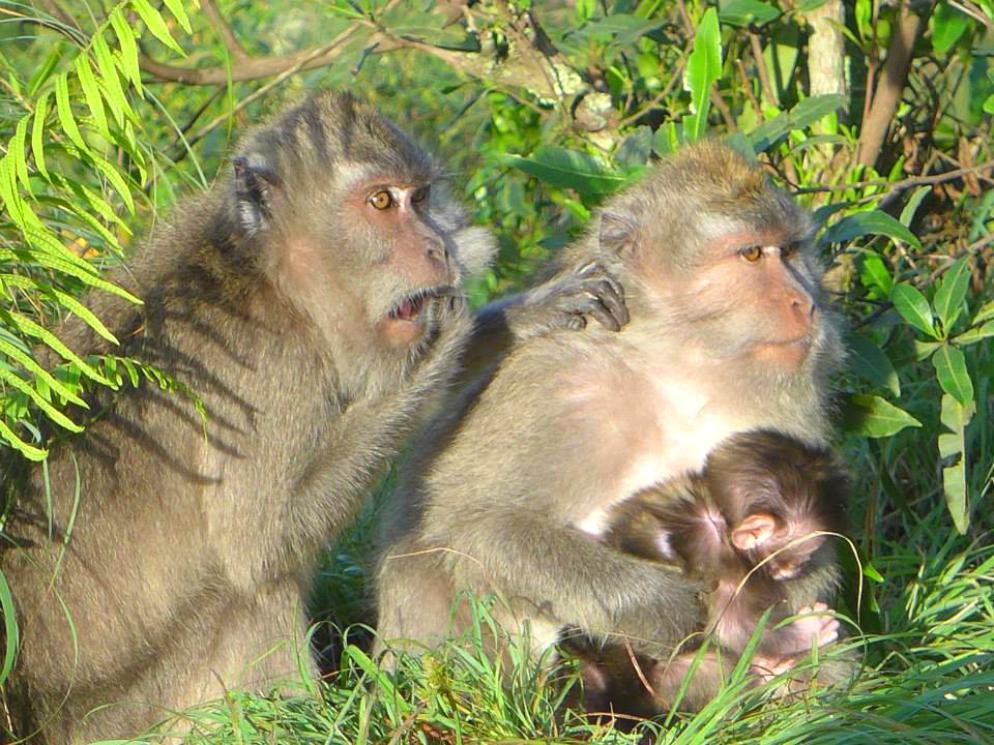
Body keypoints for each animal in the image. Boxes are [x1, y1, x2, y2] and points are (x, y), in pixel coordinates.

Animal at [0, 91, 629, 744]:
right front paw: (440, 345)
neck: (272, 277)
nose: (438, 247)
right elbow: (260, 548)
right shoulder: (271, 371)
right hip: (151, 708)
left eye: (420, 198)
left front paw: (516, 317)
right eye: (381, 202)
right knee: (250, 593)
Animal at [374, 141, 845, 683]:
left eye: (789, 251)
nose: (805, 302)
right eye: (751, 254)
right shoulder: (558, 379)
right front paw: (663, 606)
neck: (676, 363)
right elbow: (476, 525)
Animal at [582, 429, 849, 713]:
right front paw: (809, 630)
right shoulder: (723, 563)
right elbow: (736, 627)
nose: (795, 569)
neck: (720, 515)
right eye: (802, 555)